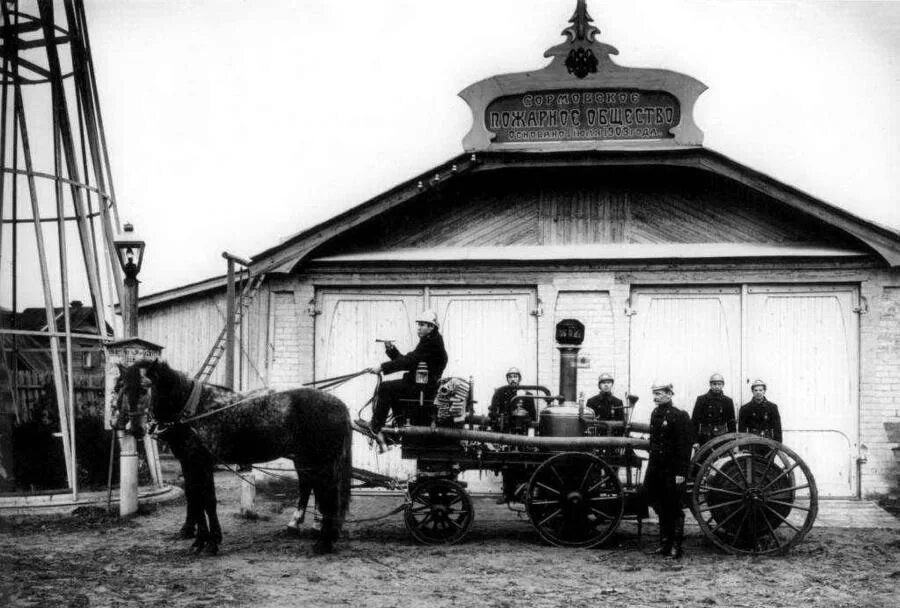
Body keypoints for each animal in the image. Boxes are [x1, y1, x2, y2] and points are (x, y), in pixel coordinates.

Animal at [118, 360, 356, 556]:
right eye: (122, 389)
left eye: (144, 388)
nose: (134, 429)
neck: (193, 409)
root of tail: (340, 405)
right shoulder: (189, 463)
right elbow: (195, 497)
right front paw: (198, 540)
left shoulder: (202, 463)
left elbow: (207, 499)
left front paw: (211, 542)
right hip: (307, 460)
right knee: (313, 489)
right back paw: (309, 530)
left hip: (321, 463)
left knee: (327, 495)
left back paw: (324, 542)